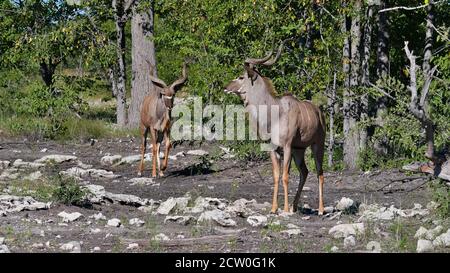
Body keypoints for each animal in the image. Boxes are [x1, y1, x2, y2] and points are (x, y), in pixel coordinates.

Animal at [223, 41, 326, 214]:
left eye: (241, 77)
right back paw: (294, 206)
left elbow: (285, 176)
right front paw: (273, 208)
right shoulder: (272, 148)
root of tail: (320, 113)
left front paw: (283, 209)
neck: (274, 114)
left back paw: (320, 209)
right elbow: (276, 175)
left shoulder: (287, 146)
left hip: (317, 145)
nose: (226, 87)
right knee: (304, 172)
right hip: (299, 149)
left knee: (320, 172)